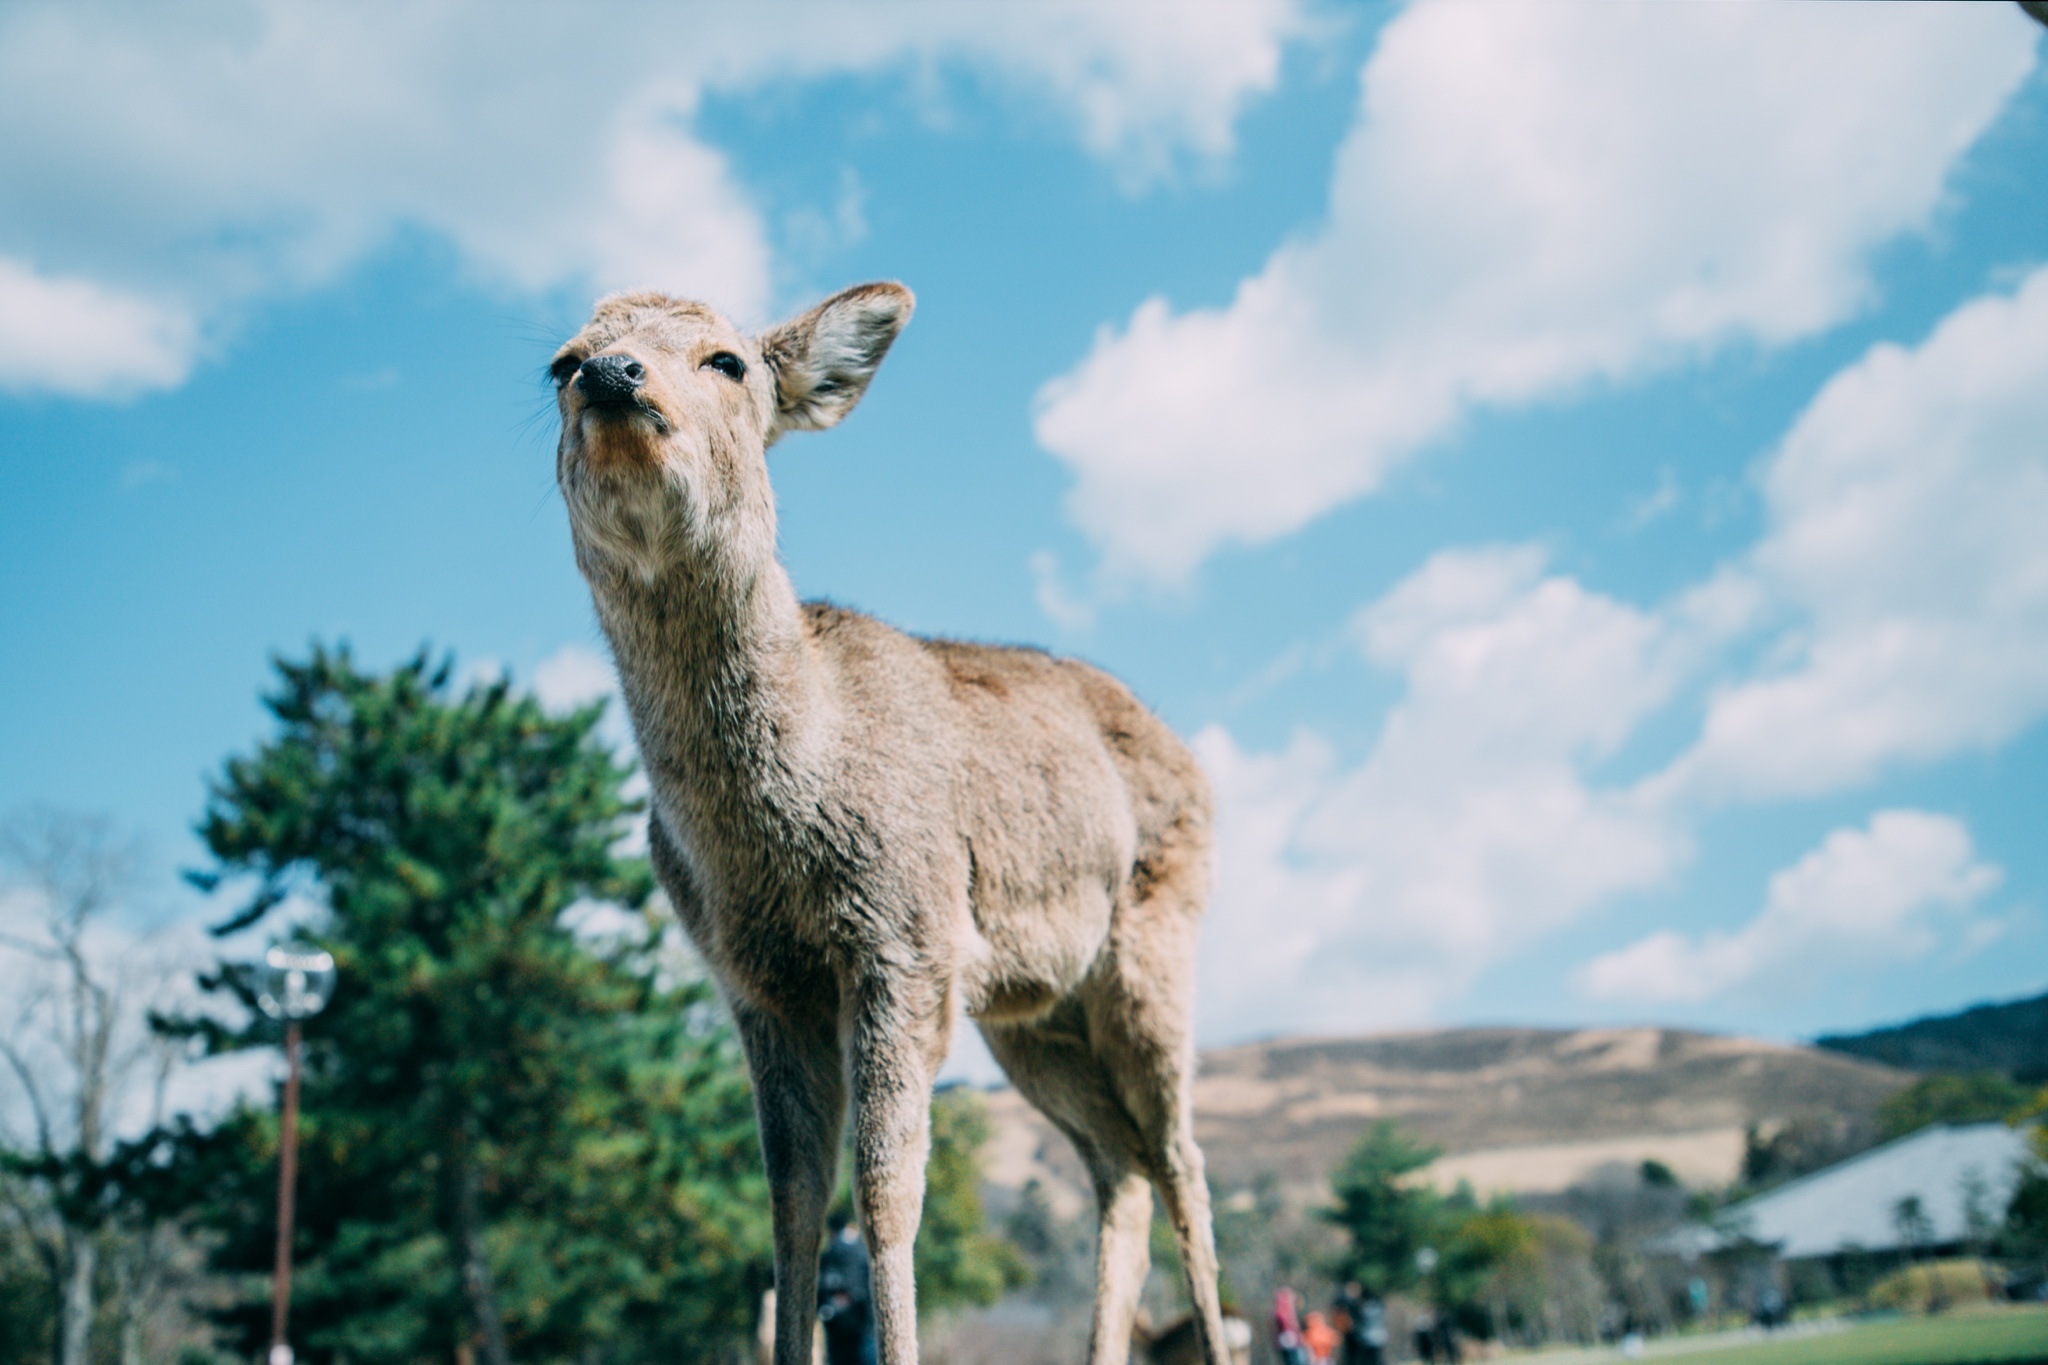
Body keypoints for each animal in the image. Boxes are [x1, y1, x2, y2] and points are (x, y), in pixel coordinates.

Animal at [548, 282, 1228, 1358]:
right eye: (561, 362)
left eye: (726, 360)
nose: (615, 376)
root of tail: (1194, 763)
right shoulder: (755, 980)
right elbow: (789, 1203)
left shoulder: (903, 938)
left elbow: (884, 1193)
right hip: (1033, 1011)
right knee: (1118, 1168)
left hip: (1153, 942)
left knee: (1183, 1160)